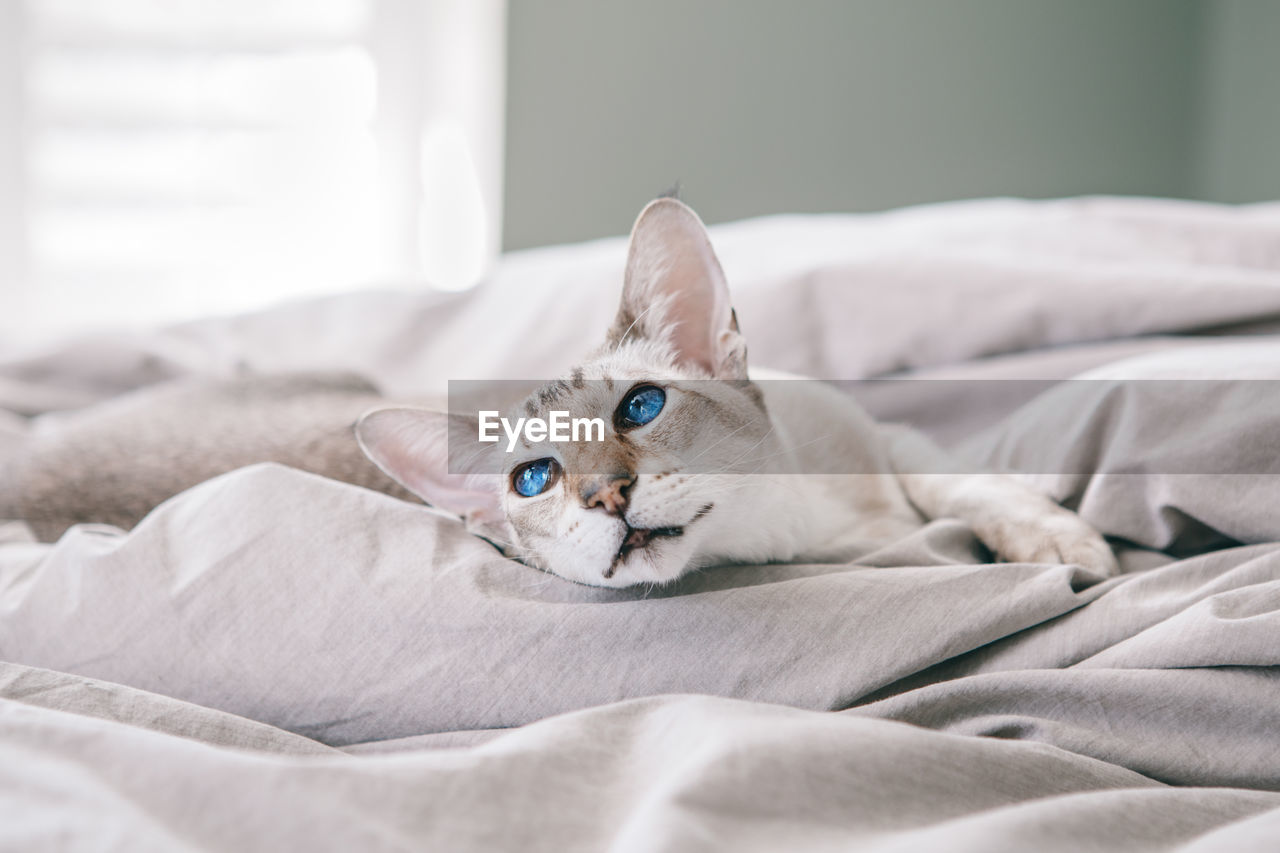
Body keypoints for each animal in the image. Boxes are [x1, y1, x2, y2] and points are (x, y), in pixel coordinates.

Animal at [0, 197, 1116, 584]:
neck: (807, 528)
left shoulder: (883, 433)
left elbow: (965, 481)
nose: (606, 497)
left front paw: (1060, 540)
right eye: (534, 478)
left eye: (639, 407)